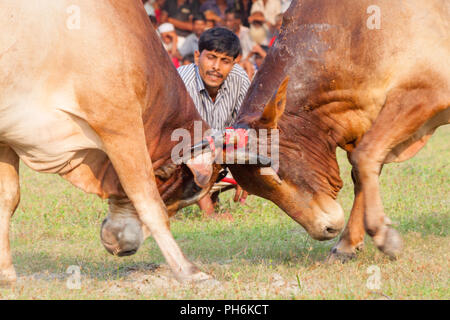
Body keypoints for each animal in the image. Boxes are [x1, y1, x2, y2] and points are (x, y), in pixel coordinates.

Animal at [230, 0, 448, 258]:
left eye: (273, 169)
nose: (324, 229)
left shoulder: (429, 91)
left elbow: (364, 158)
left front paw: (382, 233)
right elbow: (361, 170)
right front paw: (348, 244)